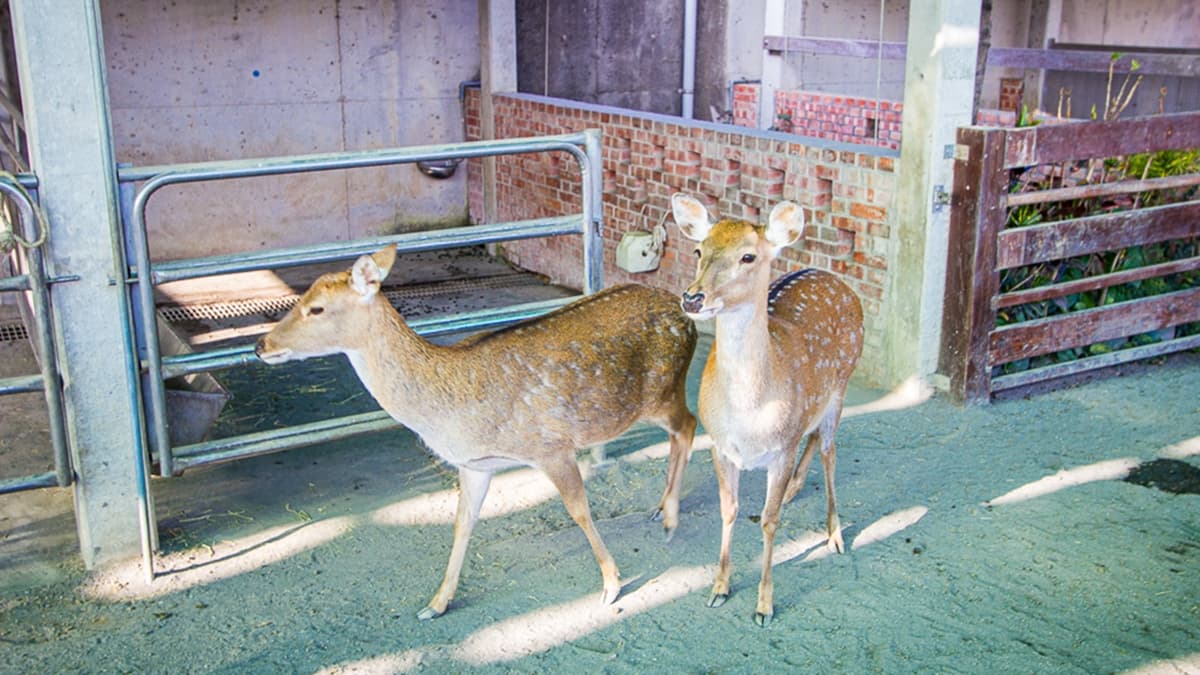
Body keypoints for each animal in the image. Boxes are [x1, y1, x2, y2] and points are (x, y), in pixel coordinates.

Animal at [254, 245, 697, 619]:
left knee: (689, 427)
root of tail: (684, 315)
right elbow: (462, 522)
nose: (260, 346)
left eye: (316, 308)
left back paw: (670, 516)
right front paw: (436, 603)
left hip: (663, 392)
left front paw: (610, 585)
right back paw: (660, 507)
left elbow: (578, 510)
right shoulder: (475, 464)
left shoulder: (551, 446)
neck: (453, 411)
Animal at [668, 193, 863, 626]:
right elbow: (728, 511)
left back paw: (835, 534)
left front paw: (764, 606)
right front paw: (719, 587)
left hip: (841, 385)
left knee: (830, 451)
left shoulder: (781, 450)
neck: (750, 416)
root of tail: (832, 275)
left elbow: (770, 522)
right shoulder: (720, 446)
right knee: (815, 435)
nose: (692, 297)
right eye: (699, 250)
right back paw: (795, 491)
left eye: (748, 257)